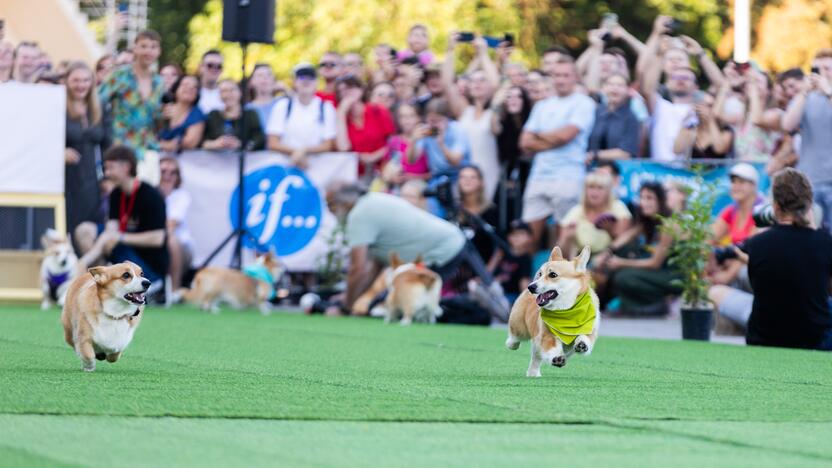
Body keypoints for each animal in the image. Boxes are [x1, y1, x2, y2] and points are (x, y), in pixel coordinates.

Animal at [508, 245, 600, 376]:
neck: (567, 311)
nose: (531, 287)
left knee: (536, 355)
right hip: (519, 326)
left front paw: (582, 344)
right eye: (540, 274)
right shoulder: (547, 336)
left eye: (553, 275)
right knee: (515, 336)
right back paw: (512, 344)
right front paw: (557, 358)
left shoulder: (589, 328)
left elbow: (585, 337)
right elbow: (551, 348)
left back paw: (533, 373)